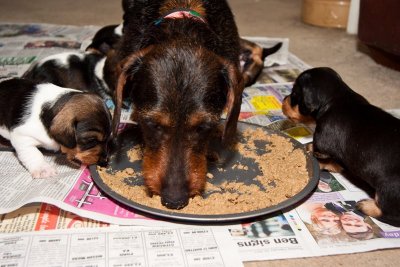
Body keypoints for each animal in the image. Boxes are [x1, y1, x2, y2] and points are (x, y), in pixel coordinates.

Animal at [282, 68, 400, 227]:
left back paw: (365, 206)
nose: (283, 100)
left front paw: (311, 150)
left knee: (389, 215)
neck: (336, 98)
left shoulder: (322, 141)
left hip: (388, 189)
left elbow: (320, 154)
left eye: (294, 94)